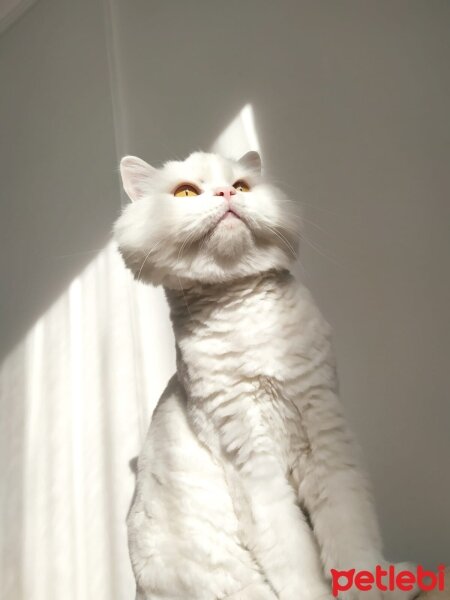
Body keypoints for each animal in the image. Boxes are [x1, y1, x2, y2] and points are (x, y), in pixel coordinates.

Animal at [114, 151, 416, 600]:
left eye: (241, 186)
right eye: (185, 192)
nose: (226, 193)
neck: (246, 317)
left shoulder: (325, 436)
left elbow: (351, 541)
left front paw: (366, 589)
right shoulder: (250, 461)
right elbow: (296, 562)